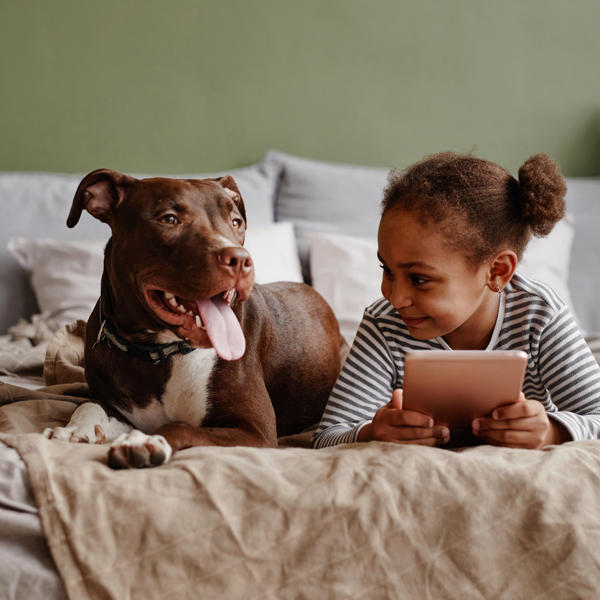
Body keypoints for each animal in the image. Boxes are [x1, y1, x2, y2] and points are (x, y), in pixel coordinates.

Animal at [44, 169, 344, 468]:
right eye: (169, 219)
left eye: (236, 222)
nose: (241, 260)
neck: (157, 352)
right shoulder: (116, 406)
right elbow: (89, 405)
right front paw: (74, 429)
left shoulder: (255, 430)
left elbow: (181, 426)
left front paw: (145, 441)